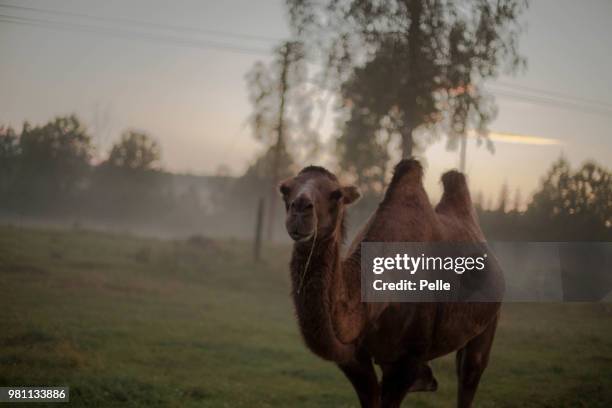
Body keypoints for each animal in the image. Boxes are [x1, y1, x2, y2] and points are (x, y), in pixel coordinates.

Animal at [280, 159, 500, 408]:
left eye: (336, 194)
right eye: (285, 189)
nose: (300, 208)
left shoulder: (409, 358)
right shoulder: (355, 358)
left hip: (488, 322)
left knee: (470, 371)